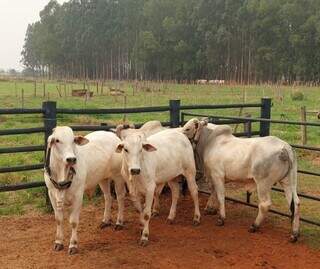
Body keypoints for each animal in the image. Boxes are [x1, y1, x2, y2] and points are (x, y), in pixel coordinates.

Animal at [45, 126, 127, 254]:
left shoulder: (78, 195)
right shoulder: (51, 194)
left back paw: (119, 222)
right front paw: (58, 242)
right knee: (108, 197)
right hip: (102, 178)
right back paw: (105, 221)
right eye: (57, 140)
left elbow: (73, 221)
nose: (71, 159)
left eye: (73, 140)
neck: (61, 173)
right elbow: (58, 219)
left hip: (118, 176)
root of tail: (113, 135)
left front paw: (73, 245)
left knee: (120, 197)